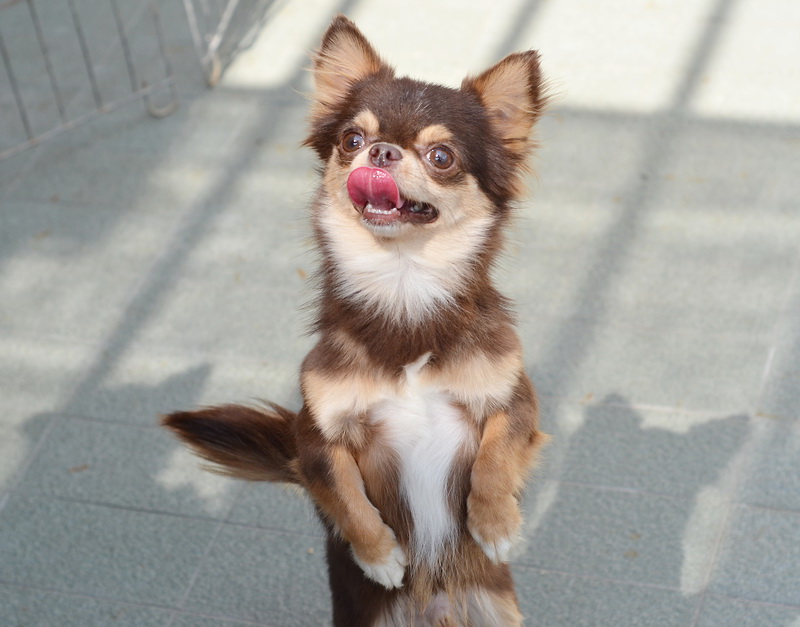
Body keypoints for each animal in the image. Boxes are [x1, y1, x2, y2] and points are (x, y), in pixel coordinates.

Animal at [163, 15, 547, 626]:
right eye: (352, 140)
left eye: (442, 156)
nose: (382, 153)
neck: (403, 287)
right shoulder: (317, 437)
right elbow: (346, 496)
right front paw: (380, 556)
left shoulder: (514, 399)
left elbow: (497, 455)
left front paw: (495, 523)